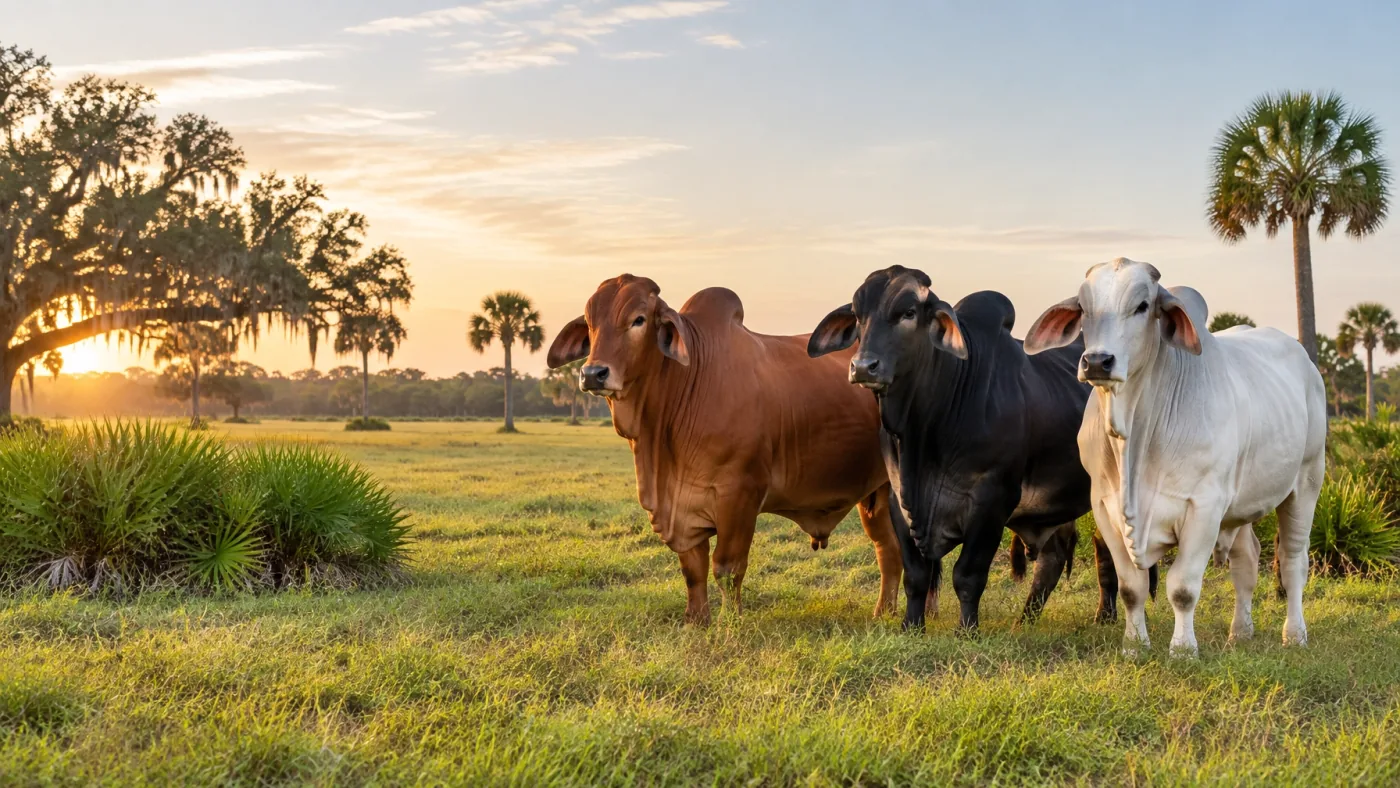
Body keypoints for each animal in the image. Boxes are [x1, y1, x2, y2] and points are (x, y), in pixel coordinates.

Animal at [546, 274, 904, 625]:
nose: (593, 373)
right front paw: (695, 620)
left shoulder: (740, 494)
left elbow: (727, 568)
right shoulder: (684, 509)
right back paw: (884, 613)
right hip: (877, 495)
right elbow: (693, 570)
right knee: (888, 549)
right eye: (589, 323)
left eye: (638, 319)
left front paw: (730, 623)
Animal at [808, 266, 1141, 632]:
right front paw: (911, 627)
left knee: (1107, 551)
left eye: (909, 312)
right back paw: (1024, 622)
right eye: (857, 314)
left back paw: (1105, 615)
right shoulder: (899, 498)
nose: (863, 366)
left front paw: (967, 630)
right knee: (1053, 560)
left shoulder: (993, 499)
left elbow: (968, 575)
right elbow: (916, 575)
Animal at [1024, 258, 1326, 657]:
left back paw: (1294, 635)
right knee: (1246, 561)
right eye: (1085, 308)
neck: (1134, 436)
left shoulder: (1204, 508)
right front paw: (1134, 646)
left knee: (1293, 562)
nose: (1098, 362)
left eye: (1142, 306)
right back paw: (1240, 632)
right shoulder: (1105, 509)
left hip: (1306, 482)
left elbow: (1183, 589)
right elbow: (1131, 589)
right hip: (1242, 504)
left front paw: (1183, 650)